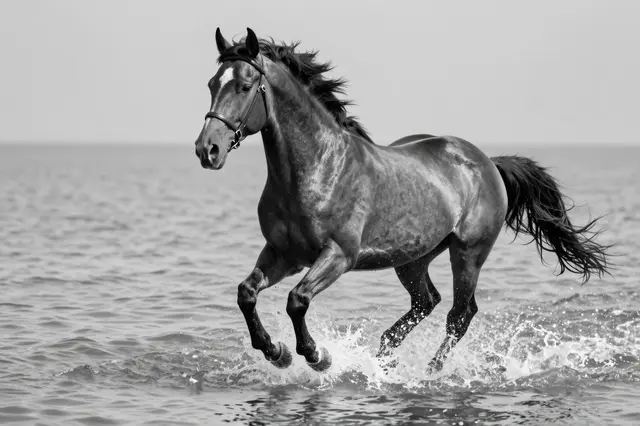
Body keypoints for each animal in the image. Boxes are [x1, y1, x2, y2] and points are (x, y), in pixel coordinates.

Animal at [194, 27, 611, 373]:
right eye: (213, 83)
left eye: (245, 86)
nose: (207, 150)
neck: (317, 168)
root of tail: (486, 162)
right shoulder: (284, 253)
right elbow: (246, 293)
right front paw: (275, 352)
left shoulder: (338, 256)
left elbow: (297, 300)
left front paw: (316, 356)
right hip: (412, 258)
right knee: (427, 301)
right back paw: (383, 360)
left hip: (468, 253)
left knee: (460, 313)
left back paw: (431, 371)